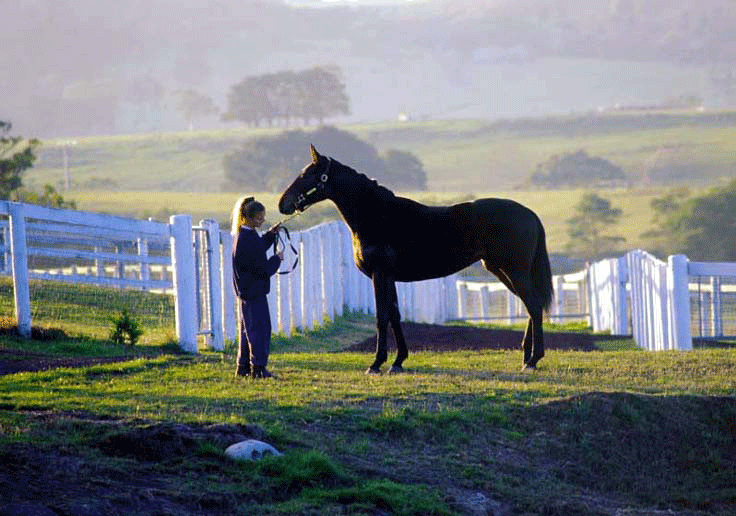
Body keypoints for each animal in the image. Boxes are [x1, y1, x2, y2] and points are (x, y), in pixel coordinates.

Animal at [278, 145, 552, 374]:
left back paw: (532, 360)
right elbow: (395, 315)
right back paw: (526, 357)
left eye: (307, 175)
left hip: (514, 271)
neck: (377, 215)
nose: (283, 204)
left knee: (533, 305)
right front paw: (398, 362)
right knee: (531, 305)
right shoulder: (389, 277)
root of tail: (530, 214)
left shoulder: (380, 274)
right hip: (502, 271)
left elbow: (381, 317)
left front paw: (376, 363)